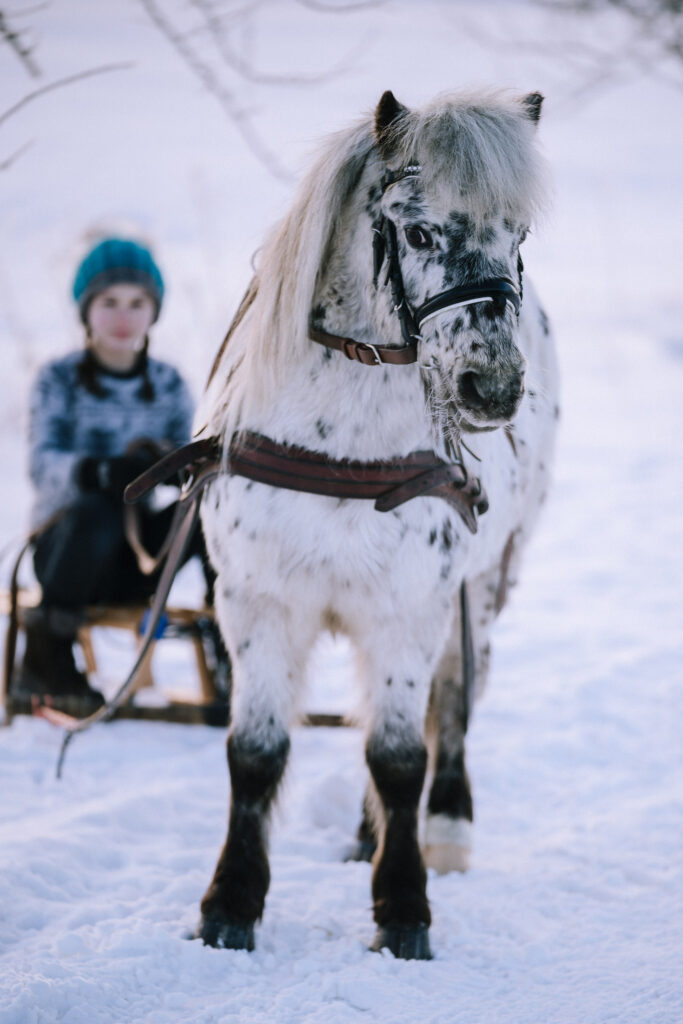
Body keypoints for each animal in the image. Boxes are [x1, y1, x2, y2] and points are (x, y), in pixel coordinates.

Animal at [194, 88, 557, 958]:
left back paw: (445, 826)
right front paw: (231, 905)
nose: (492, 386)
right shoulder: (255, 603)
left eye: (518, 234)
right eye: (419, 231)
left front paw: (403, 910)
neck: (340, 445)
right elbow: (255, 753)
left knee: (450, 705)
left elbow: (397, 758)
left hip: (480, 590)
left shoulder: (409, 610)